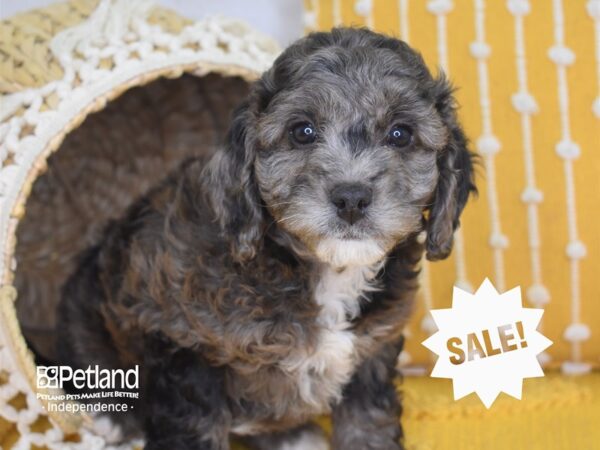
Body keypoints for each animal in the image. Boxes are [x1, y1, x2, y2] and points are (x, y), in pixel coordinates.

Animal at [58, 29, 476, 450]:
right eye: (302, 131)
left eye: (401, 134)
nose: (351, 199)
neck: (322, 270)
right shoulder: (178, 339)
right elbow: (193, 427)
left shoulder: (374, 348)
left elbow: (368, 420)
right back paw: (113, 416)